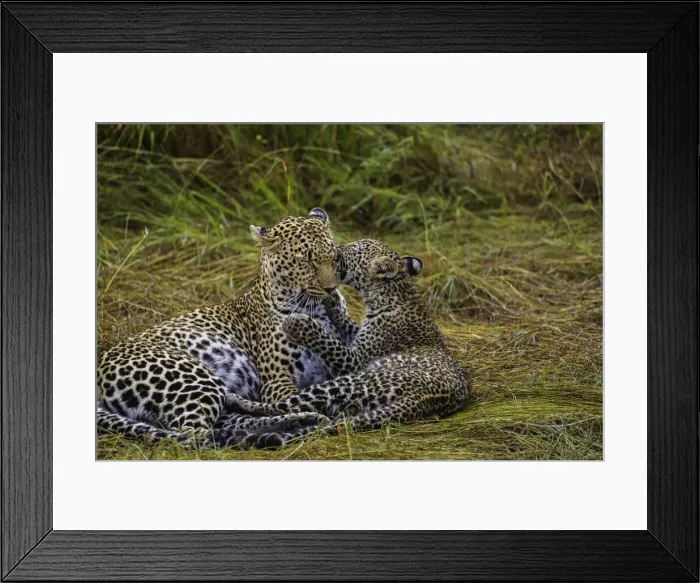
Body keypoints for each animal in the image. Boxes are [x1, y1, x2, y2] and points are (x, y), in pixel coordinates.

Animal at [96, 208, 347, 445]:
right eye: (307, 260)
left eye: (333, 256)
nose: (331, 288)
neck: (316, 310)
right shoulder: (276, 379)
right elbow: (292, 395)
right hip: (195, 378)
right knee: (195, 434)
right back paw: (300, 426)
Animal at [214, 238, 472, 448]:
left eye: (357, 247)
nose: (336, 250)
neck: (395, 292)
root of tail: (424, 402)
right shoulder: (356, 337)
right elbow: (345, 324)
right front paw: (331, 299)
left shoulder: (354, 359)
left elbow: (327, 342)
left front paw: (299, 324)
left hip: (352, 382)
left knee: (290, 405)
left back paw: (234, 399)